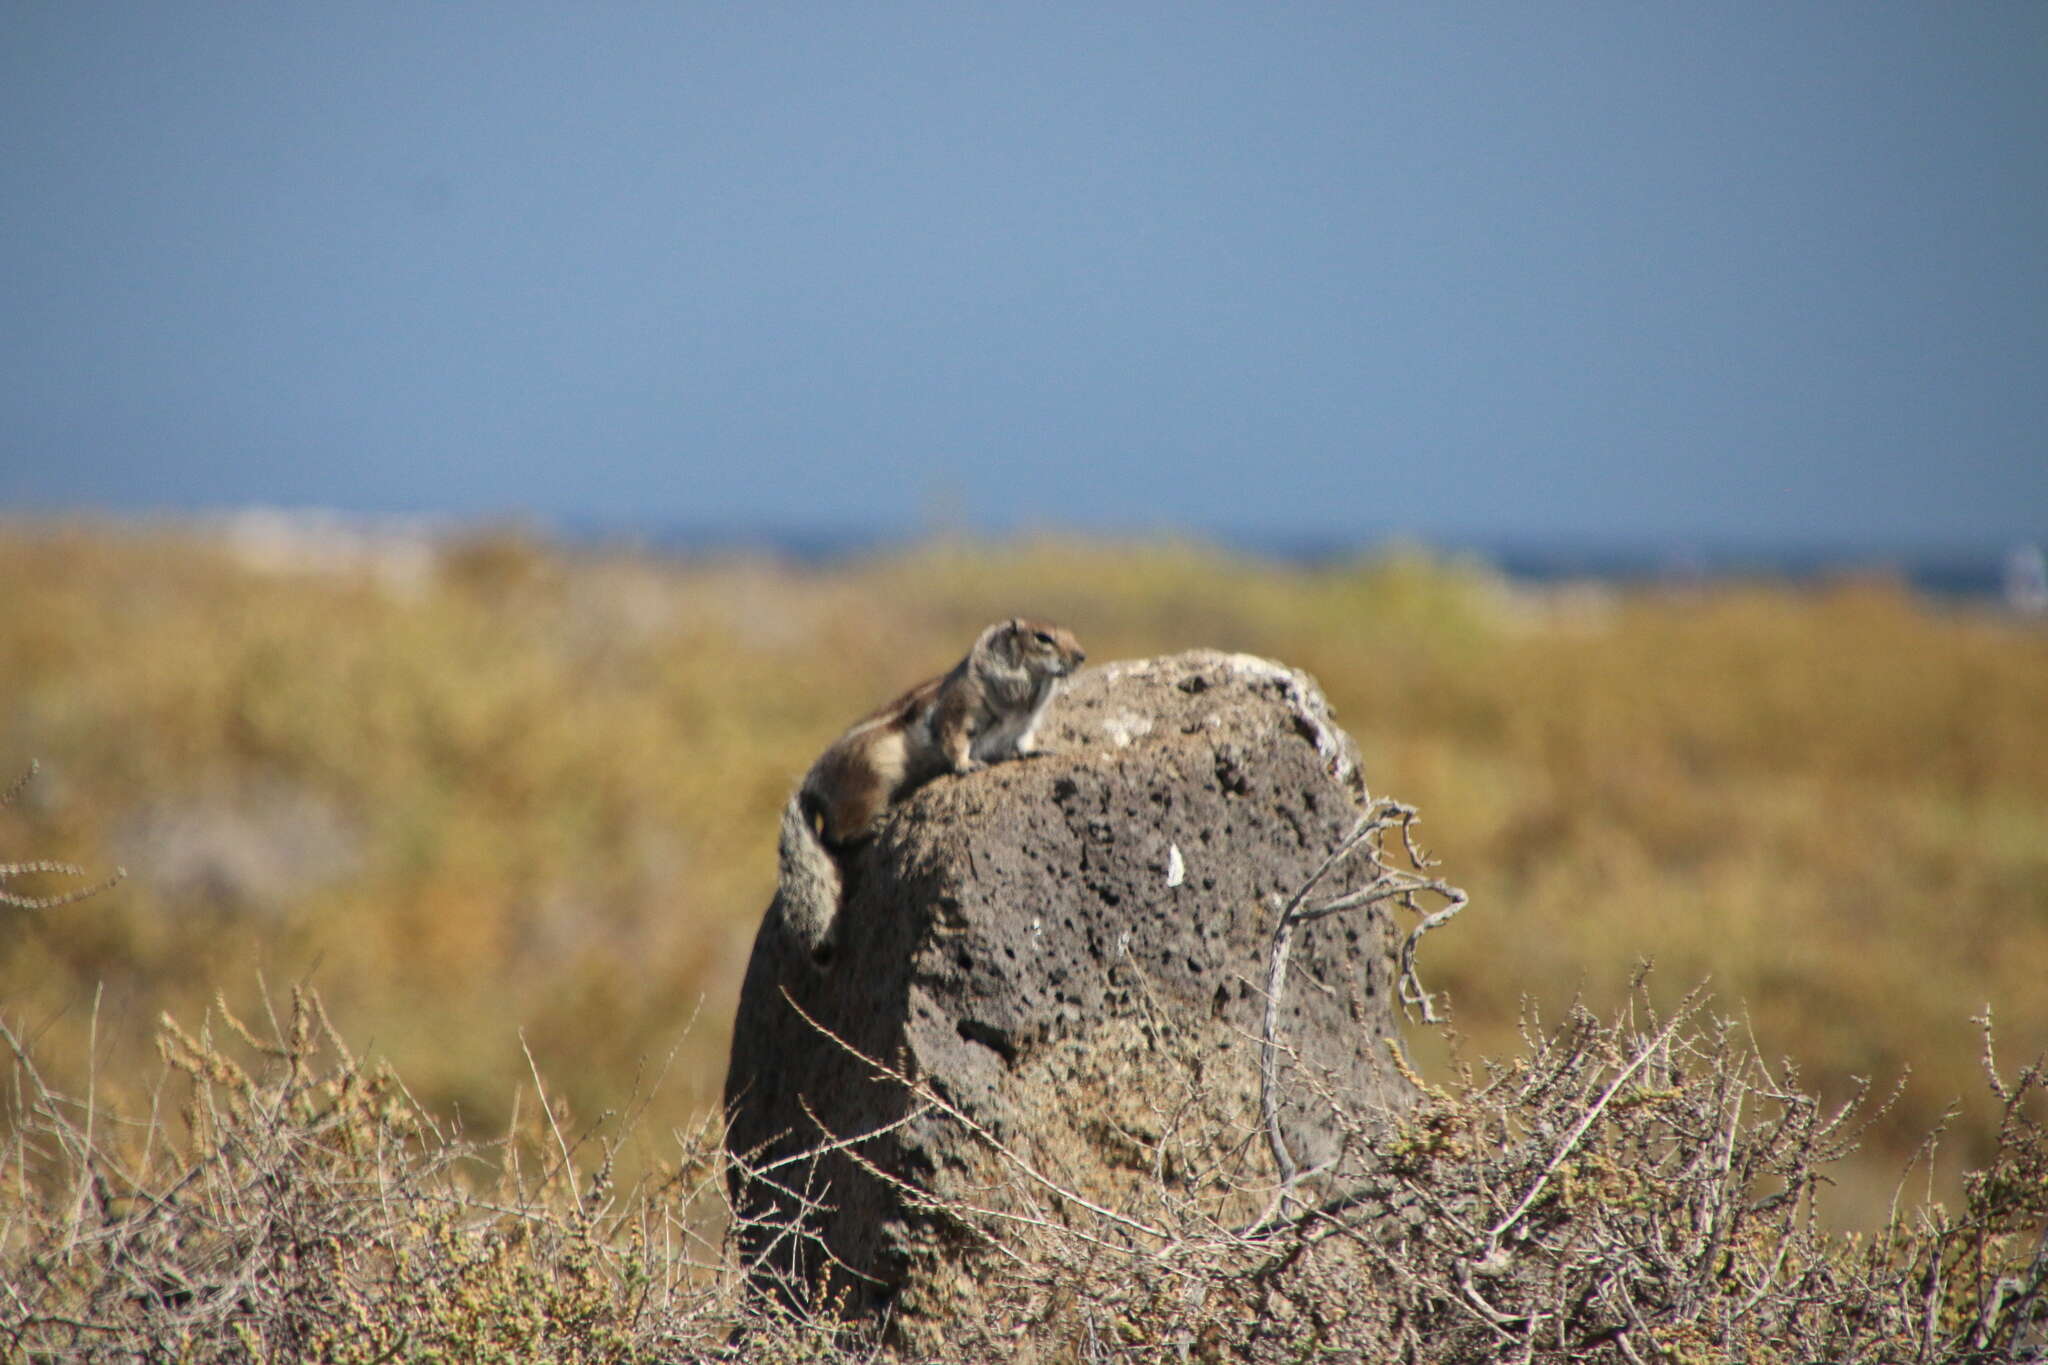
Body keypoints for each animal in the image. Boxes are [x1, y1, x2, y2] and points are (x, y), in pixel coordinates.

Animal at [770, 618, 1089, 961]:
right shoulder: (958, 713)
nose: (1081, 656)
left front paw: (1038, 751)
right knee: (836, 835)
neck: (1025, 693)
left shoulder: (1023, 727)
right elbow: (954, 742)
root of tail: (811, 781)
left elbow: (1023, 743)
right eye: (1043, 638)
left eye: (1071, 633)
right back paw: (876, 824)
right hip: (869, 785)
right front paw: (967, 765)